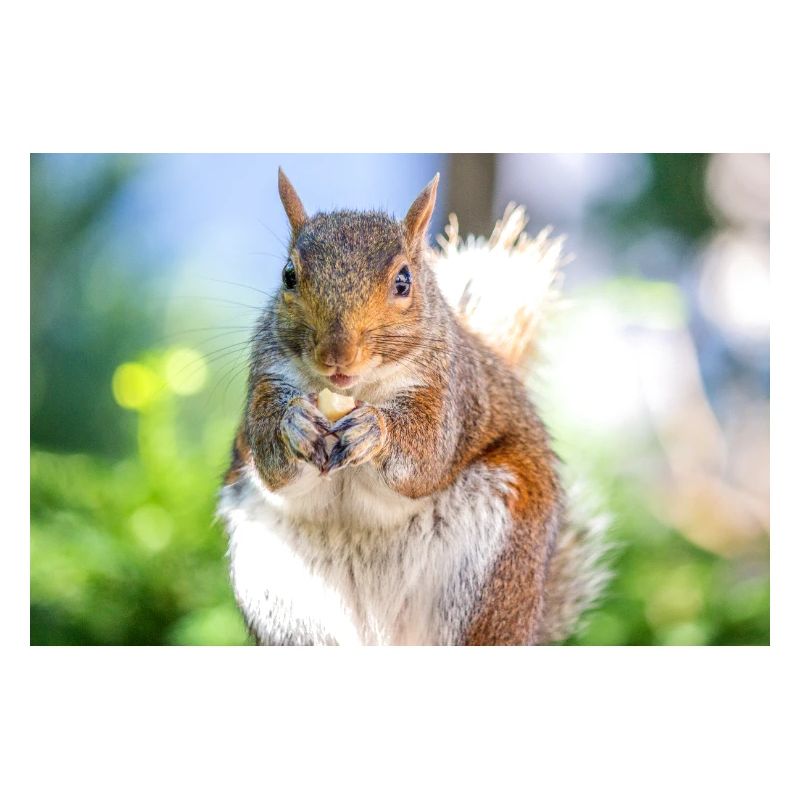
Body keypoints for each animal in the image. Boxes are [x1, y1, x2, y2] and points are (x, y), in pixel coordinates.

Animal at [218, 168, 609, 645]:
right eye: (289, 275)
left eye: (403, 281)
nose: (336, 355)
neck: (360, 390)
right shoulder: (267, 378)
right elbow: (272, 460)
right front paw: (294, 424)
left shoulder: (449, 394)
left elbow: (425, 457)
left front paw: (375, 430)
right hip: (285, 602)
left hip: (493, 578)